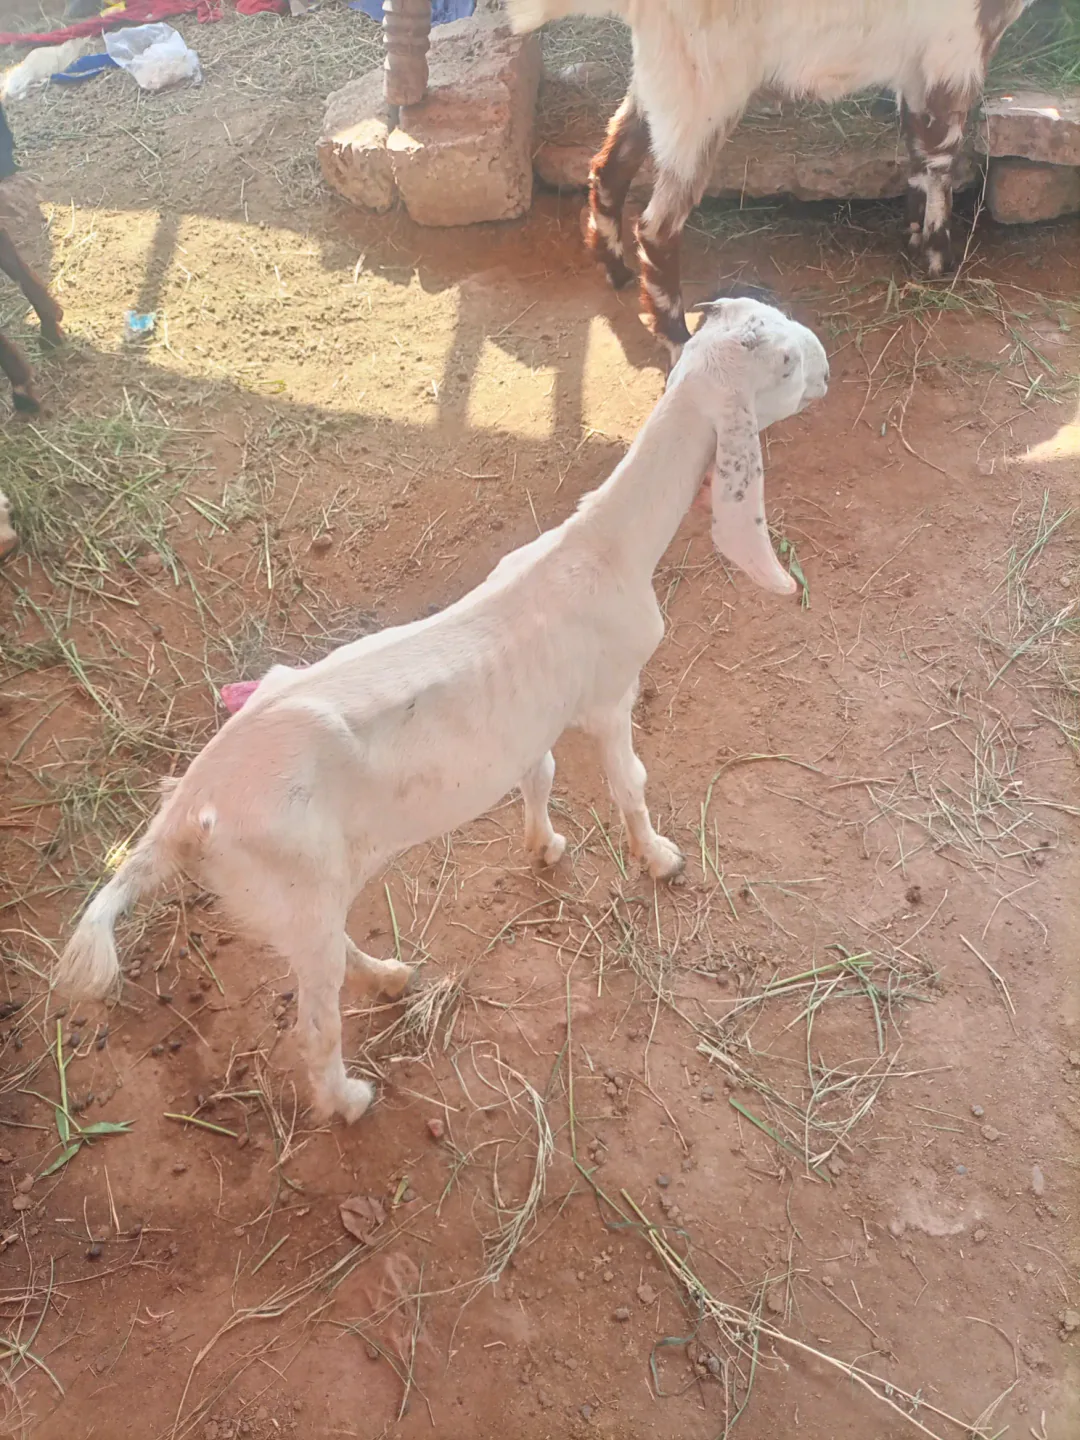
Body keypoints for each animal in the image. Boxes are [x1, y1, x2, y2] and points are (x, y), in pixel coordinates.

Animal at [55, 296, 829, 1125]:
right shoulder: (609, 695)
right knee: (315, 1022)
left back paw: (389, 976)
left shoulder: (531, 717)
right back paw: (348, 1097)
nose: (827, 366)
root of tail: (184, 810)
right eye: (785, 362)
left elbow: (540, 776)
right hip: (294, 883)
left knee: (326, 953)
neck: (603, 547)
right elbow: (630, 785)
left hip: (290, 899)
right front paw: (660, 859)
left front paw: (544, 847)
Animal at [508, 0, 1039, 356]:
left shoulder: (917, 64)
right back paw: (678, 335)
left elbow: (916, 147)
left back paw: (615, 268)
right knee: (658, 225)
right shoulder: (956, 49)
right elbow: (941, 155)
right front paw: (937, 259)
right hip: (703, 91)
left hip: (662, 78)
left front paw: (912, 239)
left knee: (610, 166)